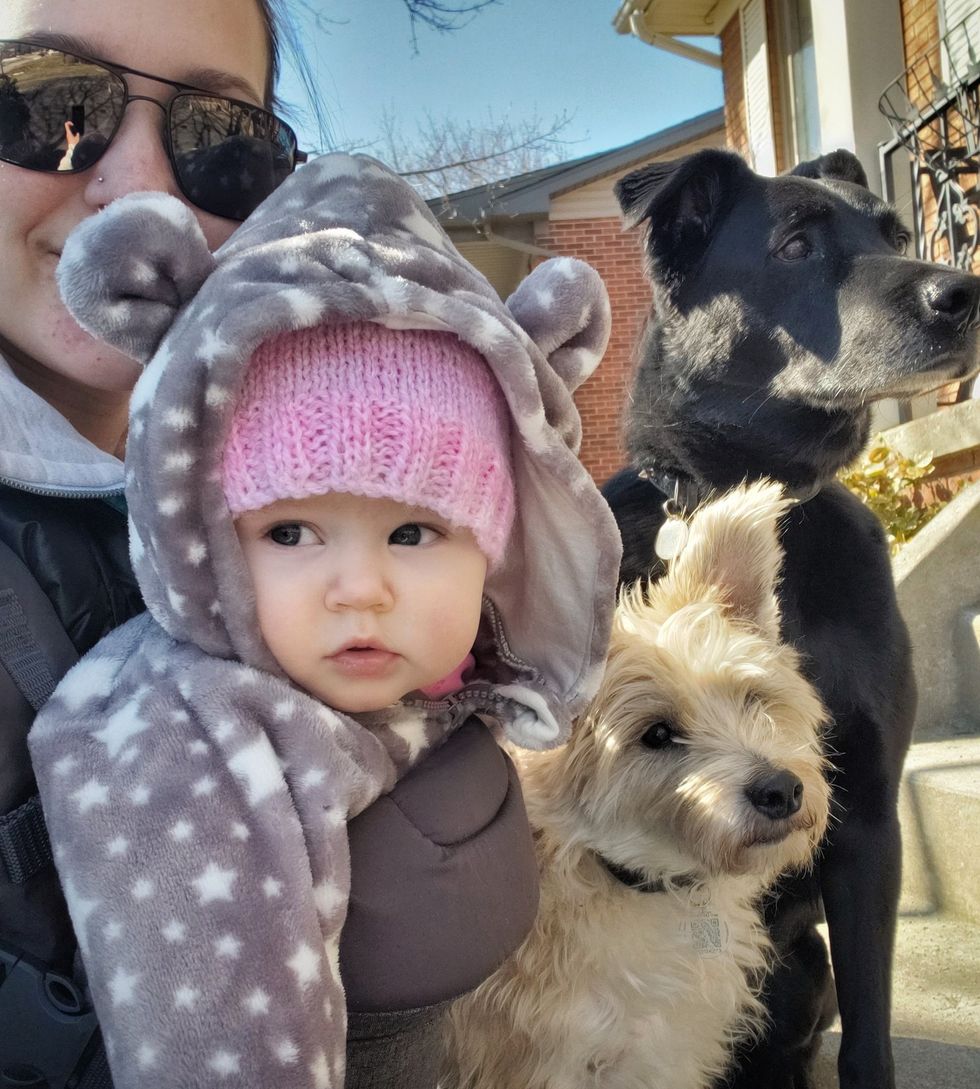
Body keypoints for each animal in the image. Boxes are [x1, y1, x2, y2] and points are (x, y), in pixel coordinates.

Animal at [605, 151, 980, 1089]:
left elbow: (871, 1035)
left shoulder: (869, 817)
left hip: (806, 963)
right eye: (796, 245)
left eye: (891, 230)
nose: (964, 293)